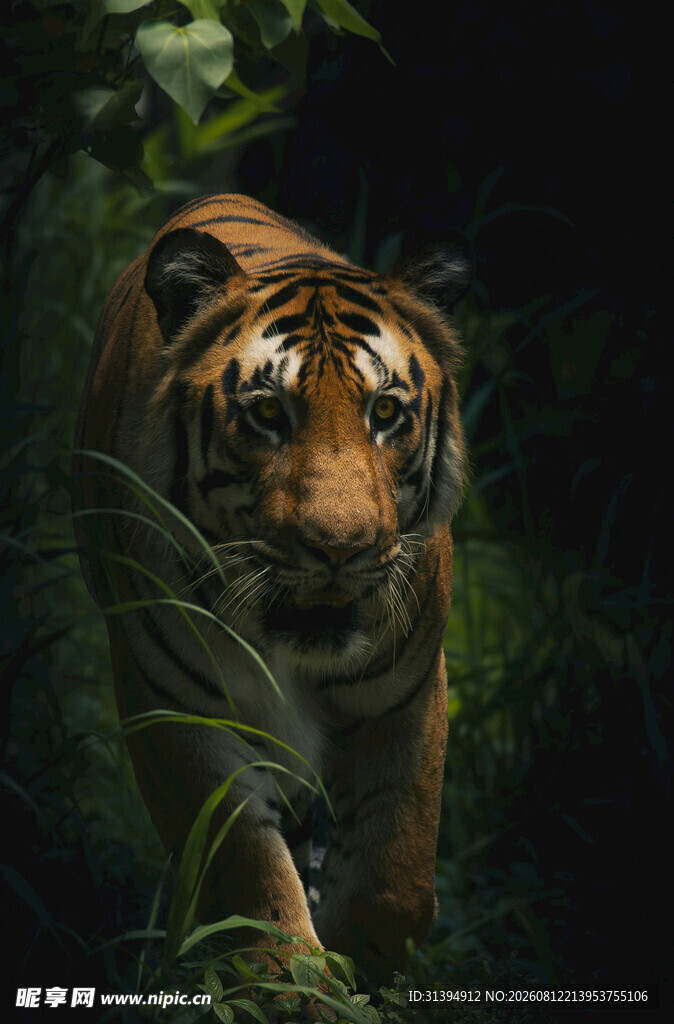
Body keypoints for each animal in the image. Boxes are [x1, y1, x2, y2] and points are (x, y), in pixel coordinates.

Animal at [73, 194, 470, 988]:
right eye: (265, 414)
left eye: (386, 414)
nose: (340, 548)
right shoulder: (174, 704)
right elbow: (244, 866)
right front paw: (292, 982)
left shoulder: (405, 695)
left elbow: (396, 875)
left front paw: (364, 966)